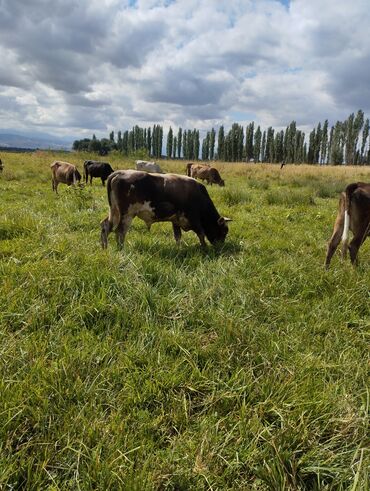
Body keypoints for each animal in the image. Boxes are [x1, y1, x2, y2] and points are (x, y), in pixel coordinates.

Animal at [99, 171, 230, 252]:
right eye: (224, 231)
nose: (221, 247)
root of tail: (119, 172)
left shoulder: (176, 220)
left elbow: (178, 236)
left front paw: (179, 249)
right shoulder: (194, 218)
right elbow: (201, 234)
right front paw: (204, 248)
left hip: (114, 211)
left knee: (105, 226)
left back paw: (105, 247)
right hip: (126, 215)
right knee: (120, 232)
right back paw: (121, 249)